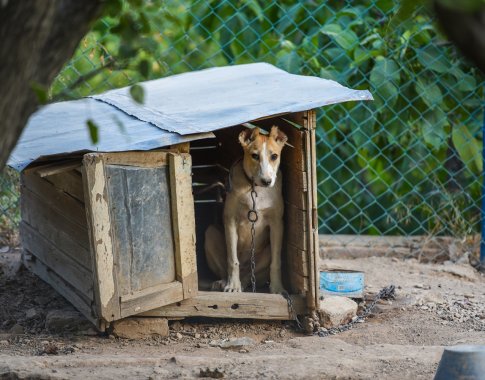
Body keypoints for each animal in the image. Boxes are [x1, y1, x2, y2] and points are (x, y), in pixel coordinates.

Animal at [204, 126, 288, 292]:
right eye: (254, 155)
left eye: (274, 156)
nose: (267, 181)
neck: (255, 188)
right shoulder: (230, 221)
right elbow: (232, 260)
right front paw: (232, 286)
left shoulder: (277, 224)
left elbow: (276, 263)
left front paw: (277, 288)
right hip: (210, 233)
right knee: (229, 269)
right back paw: (224, 282)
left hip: (266, 250)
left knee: (249, 276)